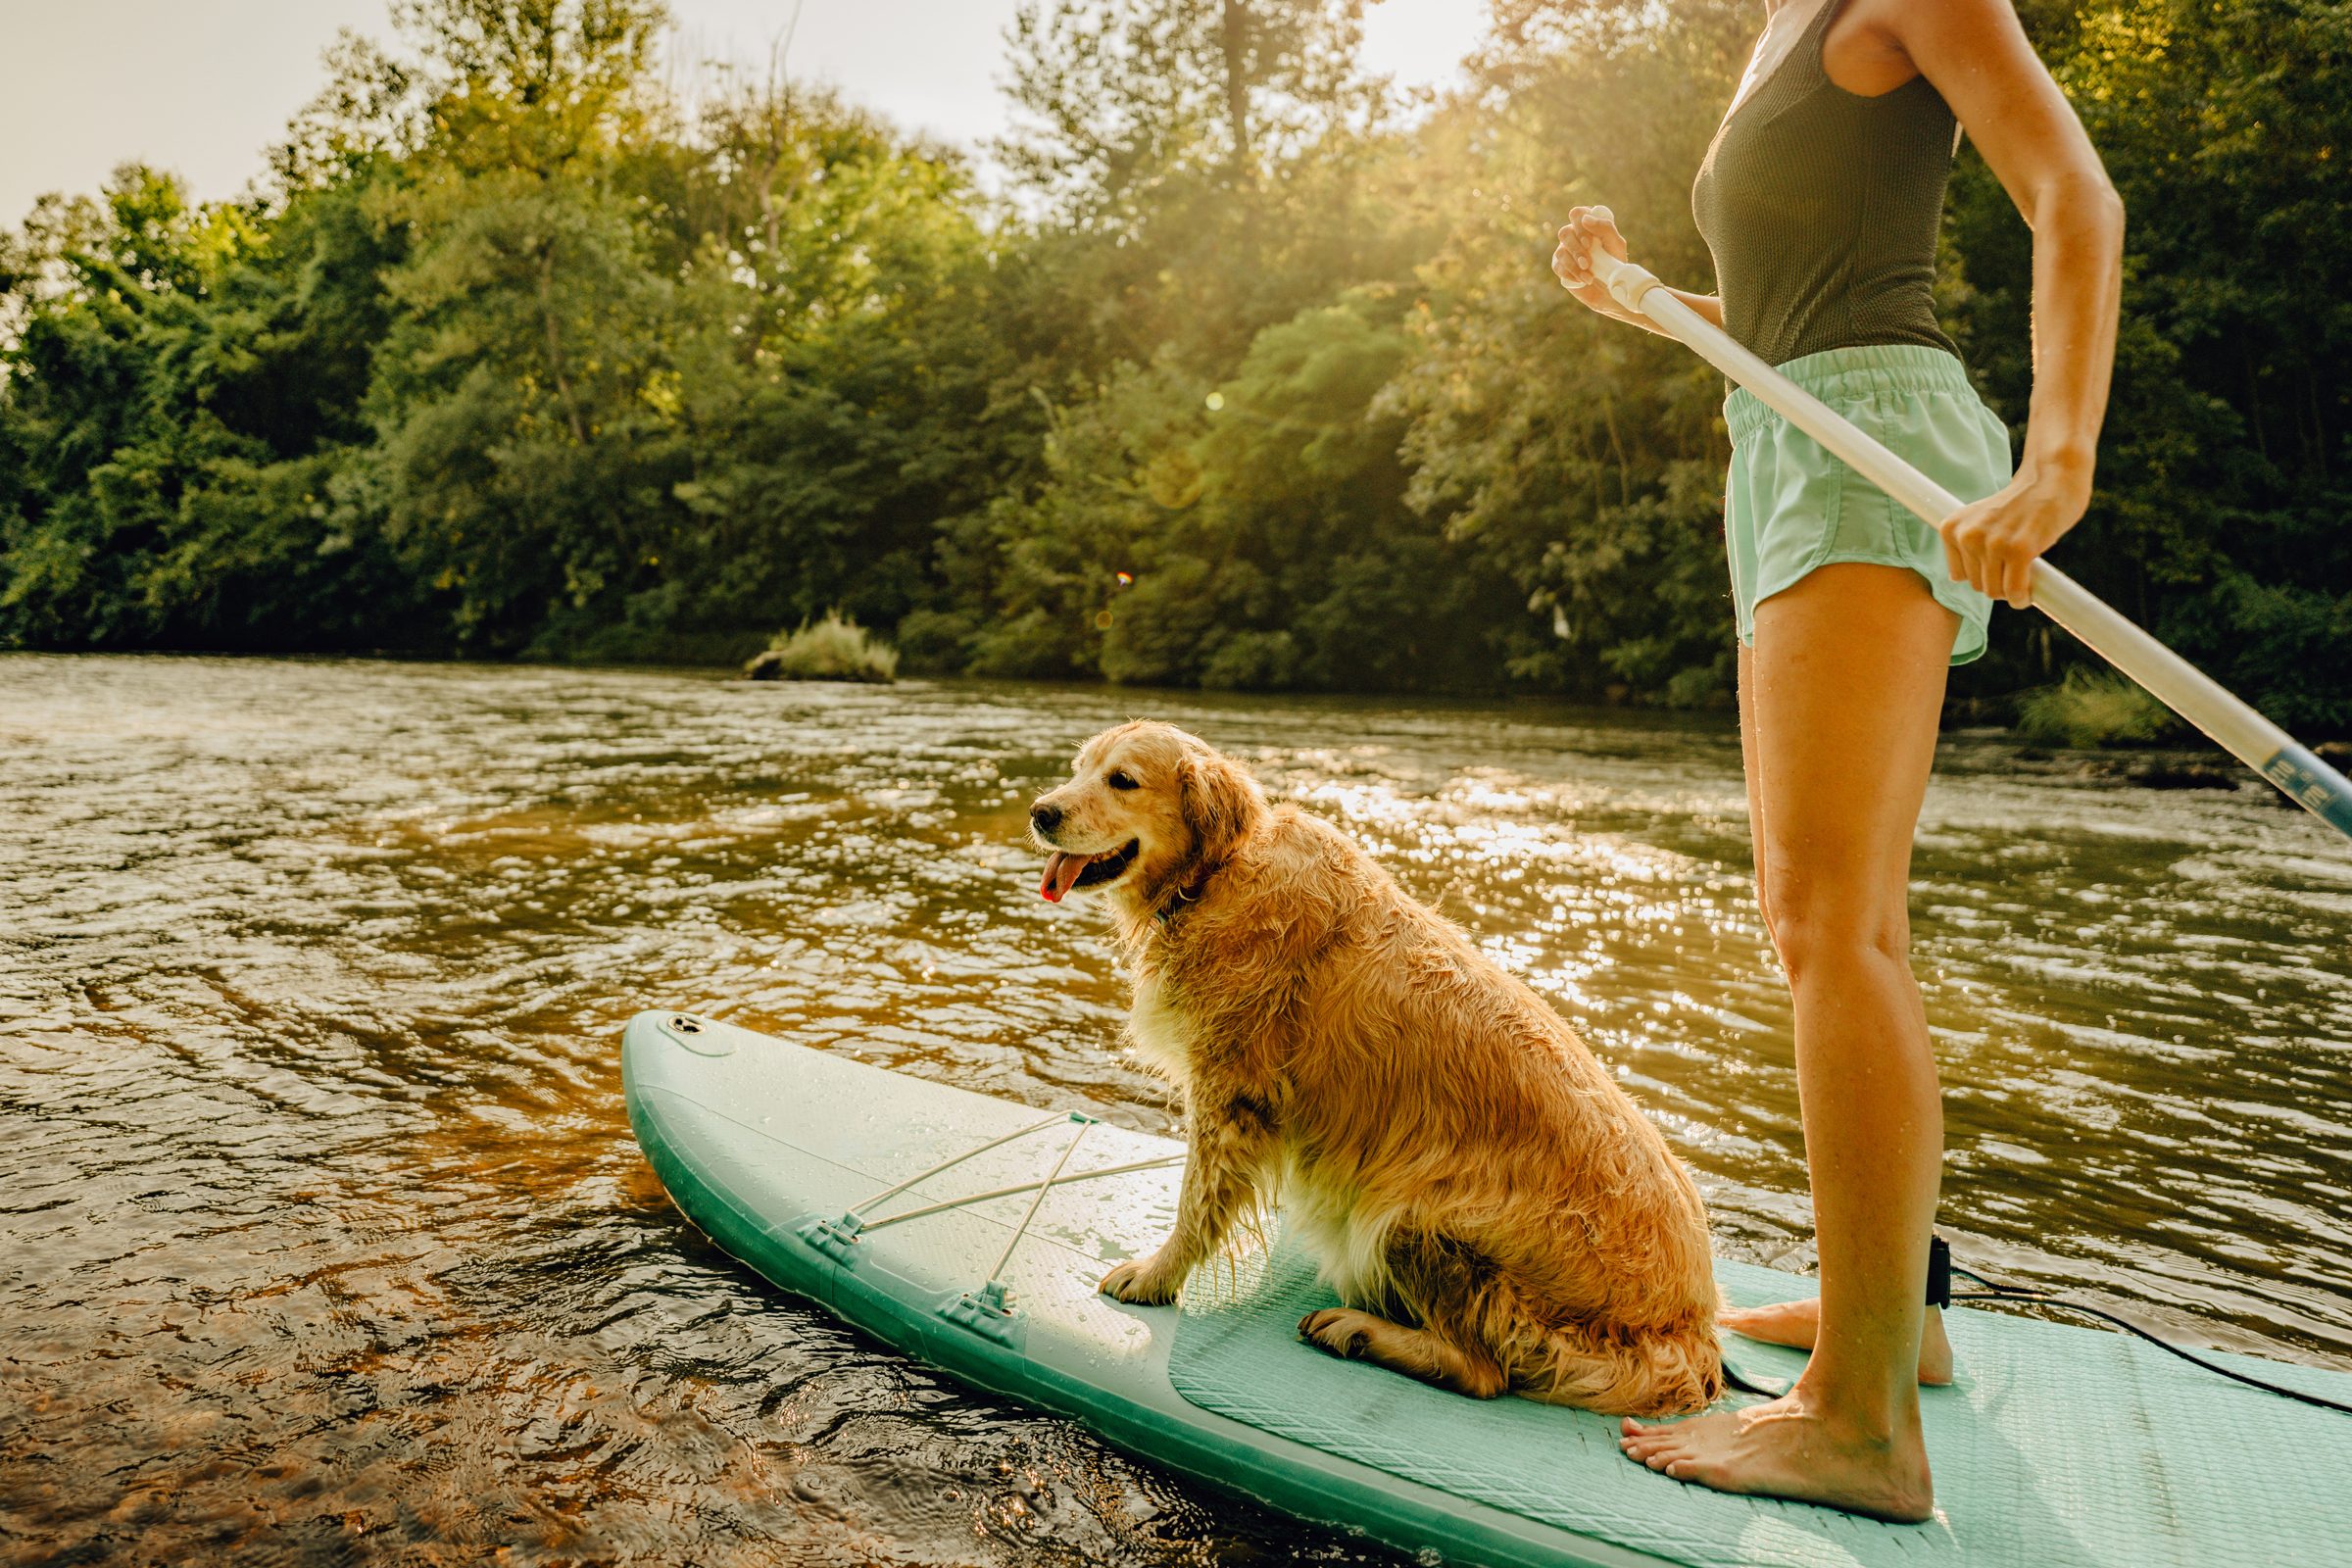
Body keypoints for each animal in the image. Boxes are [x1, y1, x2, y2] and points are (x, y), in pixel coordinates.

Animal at [1039, 723, 1721, 1419]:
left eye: (1123, 780)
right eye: (1079, 768)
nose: (1042, 812)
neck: (1217, 873)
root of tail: (1688, 1330)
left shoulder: (1230, 1093)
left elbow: (1194, 1208)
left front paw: (1155, 1277)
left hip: (1410, 1216)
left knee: (1483, 1371)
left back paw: (1359, 1331)